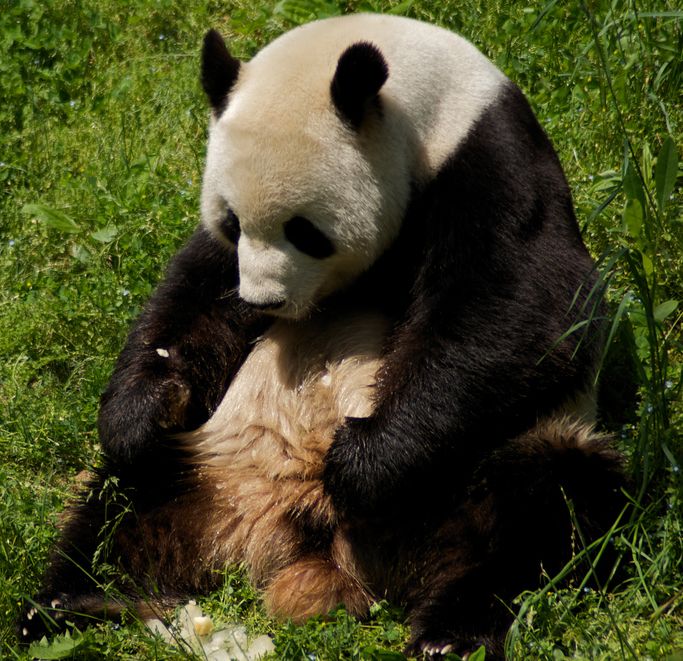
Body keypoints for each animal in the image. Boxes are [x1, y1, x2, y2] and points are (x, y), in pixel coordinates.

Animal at [19, 13, 626, 660]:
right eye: (232, 220)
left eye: (305, 232)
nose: (263, 301)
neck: (429, 107)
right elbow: (193, 293)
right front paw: (146, 411)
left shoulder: (494, 165)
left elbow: (527, 309)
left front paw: (357, 462)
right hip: (202, 463)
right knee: (115, 506)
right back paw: (73, 603)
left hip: (479, 472)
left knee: (539, 502)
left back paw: (450, 632)